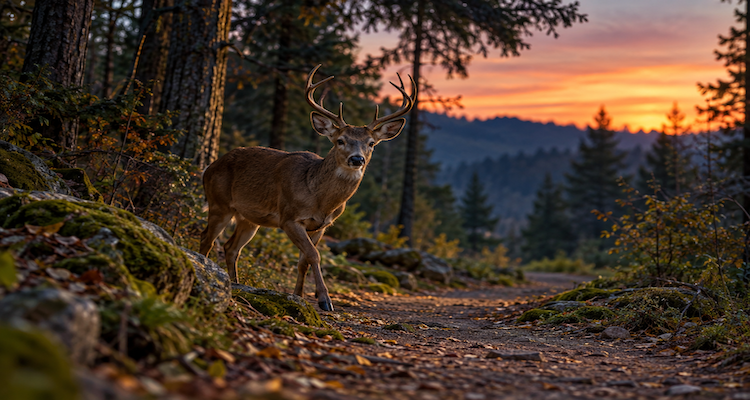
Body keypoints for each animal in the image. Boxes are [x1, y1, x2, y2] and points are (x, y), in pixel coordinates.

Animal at [199, 64, 416, 311]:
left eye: (371, 143)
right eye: (340, 140)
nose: (357, 159)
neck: (319, 199)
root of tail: (209, 167)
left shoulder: (322, 226)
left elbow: (303, 260)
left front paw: (299, 295)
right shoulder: (289, 217)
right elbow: (314, 255)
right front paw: (324, 300)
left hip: (249, 218)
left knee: (231, 247)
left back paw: (236, 283)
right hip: (219, 203)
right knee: (207, 238)